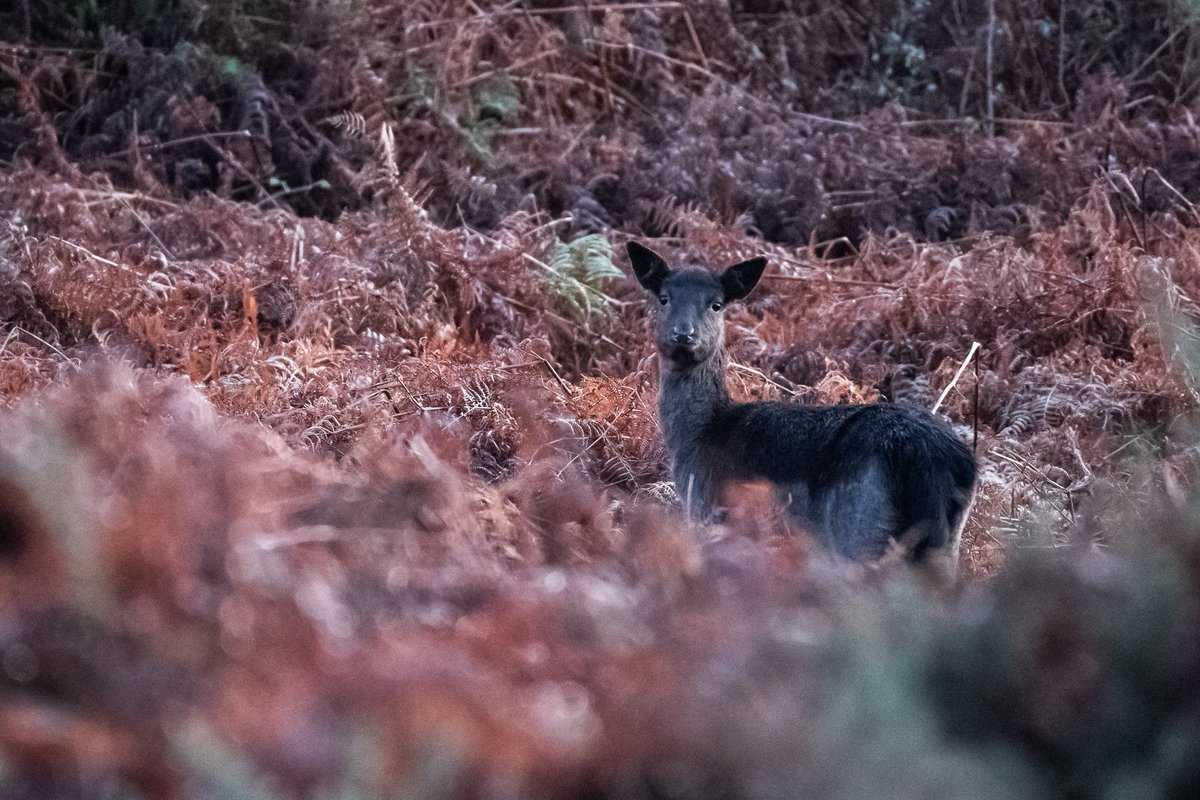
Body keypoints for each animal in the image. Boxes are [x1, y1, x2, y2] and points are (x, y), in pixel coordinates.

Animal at [627, 241, 976, 570]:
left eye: (716, 304)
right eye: (664, 297)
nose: (683, 333)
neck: (699, 438)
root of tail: (935, 461)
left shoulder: (713, 512)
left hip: (858, 517)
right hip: (946, 540)